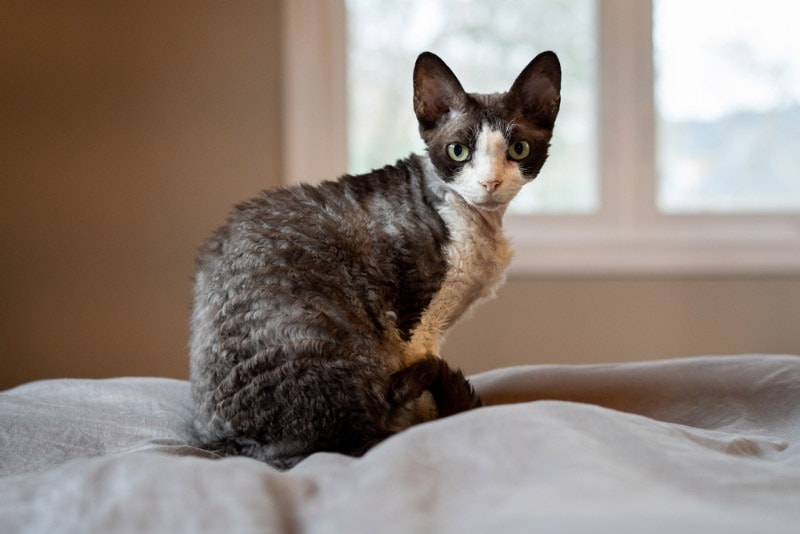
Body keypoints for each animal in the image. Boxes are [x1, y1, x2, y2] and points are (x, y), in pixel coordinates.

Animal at [190, 50, 560, 468]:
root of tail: (237, 447)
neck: (478, 221)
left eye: (519, 149)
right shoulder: (415, 323)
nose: (490, 183)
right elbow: (422, 386)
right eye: (458, 151)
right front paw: (433, 423)